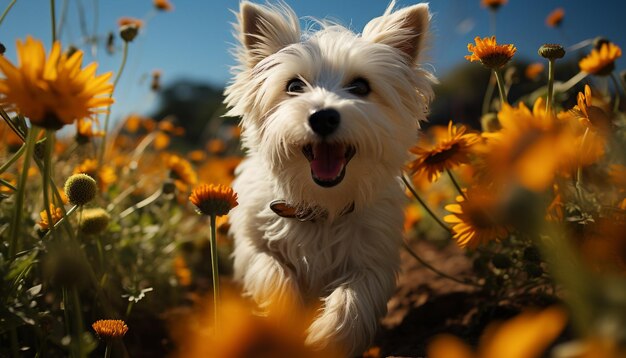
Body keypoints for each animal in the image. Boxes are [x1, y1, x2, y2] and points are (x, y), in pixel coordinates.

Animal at [224, 1, 434, 356]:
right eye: (294, 86)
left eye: (361, 87)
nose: (323, 117)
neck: (320, 206)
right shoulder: (252, 244)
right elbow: (271, 272)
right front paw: (285, 321)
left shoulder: (374, 258)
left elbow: (356, 296)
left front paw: (328, 338)